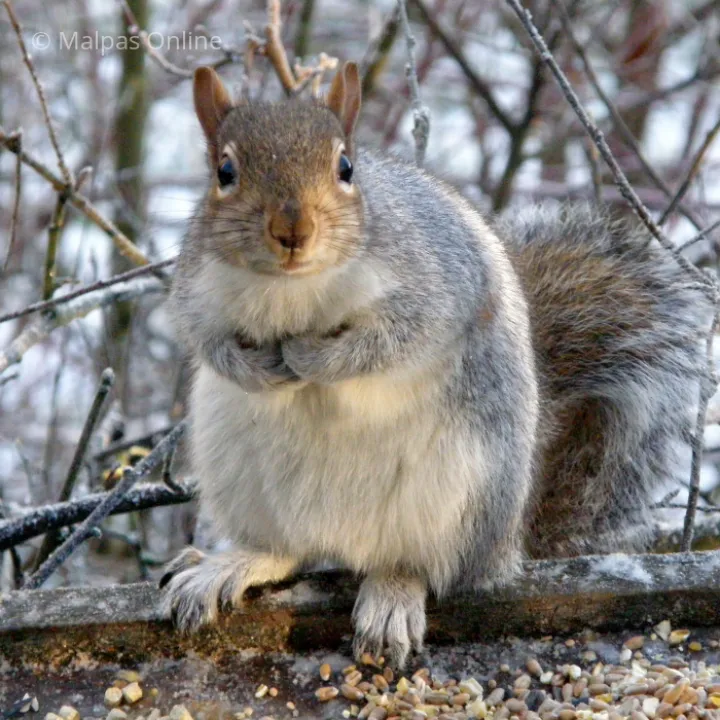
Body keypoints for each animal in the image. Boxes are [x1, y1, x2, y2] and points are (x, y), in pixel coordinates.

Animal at [161, 62, 710, 667]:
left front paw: (311, 356)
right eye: (225, 172)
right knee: (291, 552)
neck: (292, 288)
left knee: (426, 567)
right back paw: (233, 565)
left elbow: (394, 339)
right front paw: (255, 367)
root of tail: (509, 542)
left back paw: (392, 598)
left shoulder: (435, 285)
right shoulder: (194, 288)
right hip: (243, 478)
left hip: (461, 493)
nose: (292, 232)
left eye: (345, 167)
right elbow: (204, 338)